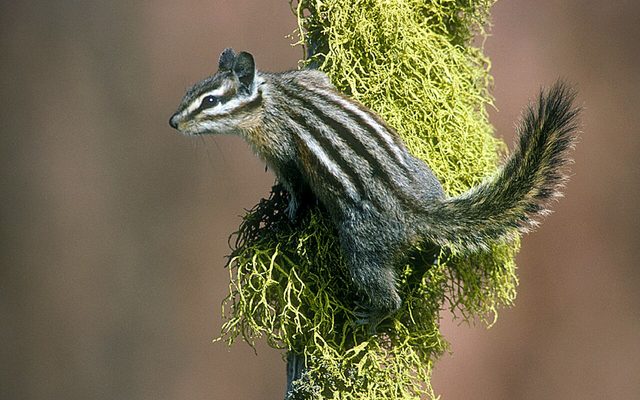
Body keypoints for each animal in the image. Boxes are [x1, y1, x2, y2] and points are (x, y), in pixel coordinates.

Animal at [169, 48, 579, 327]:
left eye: (211, 100)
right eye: (191, 91)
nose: (173, 121)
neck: (272, 96)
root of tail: (415, 208)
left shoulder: (281, 146)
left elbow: (296, 184)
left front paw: (289, 211)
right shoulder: (309, 80)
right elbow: (322, 76)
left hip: (361, 246)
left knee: (384, 291)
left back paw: (373, 315)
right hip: (424, 175)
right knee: (431, 250)